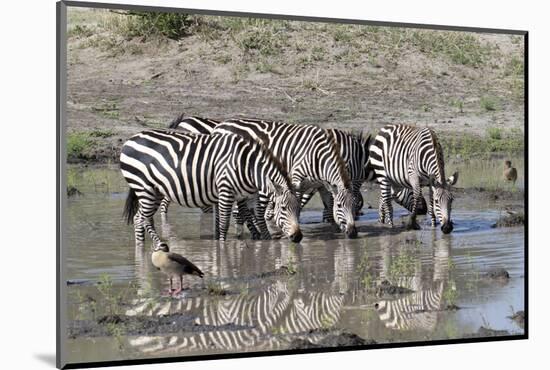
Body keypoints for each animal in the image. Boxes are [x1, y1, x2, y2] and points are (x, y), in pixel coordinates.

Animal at [121, 129, 304, 244]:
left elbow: (254, 218)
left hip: (156, 190)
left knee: (142, 218)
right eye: (283, 208)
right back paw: (155, 248)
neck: (248, 167)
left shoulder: (244, 195)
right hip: (144, 188)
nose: (298, 237)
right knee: (141, 218)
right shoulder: (225, 191)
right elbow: (223, 224)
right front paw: (221, 248)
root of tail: (131, 139)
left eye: (298, 209)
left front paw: (265, 242)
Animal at [213, 119, 360, 240]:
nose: (353, 233)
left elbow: (329, 208)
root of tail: (219, 126)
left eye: (354, 205)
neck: (317, 157)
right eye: (340, 205)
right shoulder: (296, 182)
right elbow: (296, 208)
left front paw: (334, 232)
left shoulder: (322, 185)